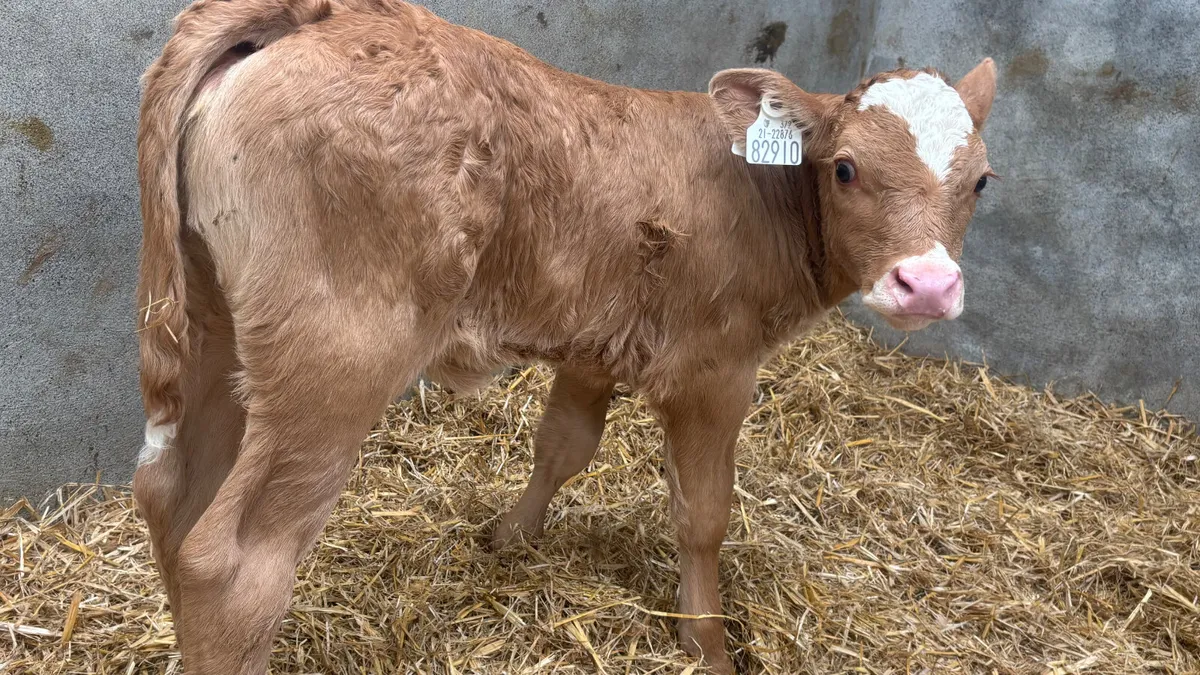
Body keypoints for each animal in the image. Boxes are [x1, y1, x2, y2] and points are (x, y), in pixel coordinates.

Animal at [131, 0, 997, 672]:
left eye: (983, 181)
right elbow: (704, 514)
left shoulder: (595, 343)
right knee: (233, 565)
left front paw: (508, 536)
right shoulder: (716, 370)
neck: (761, 188)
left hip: (212, 319)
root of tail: (323, 15)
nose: (927, 283)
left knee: (172, 495)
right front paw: (709, 646)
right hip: (335, 355)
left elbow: (563, 444)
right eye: (845, 167)